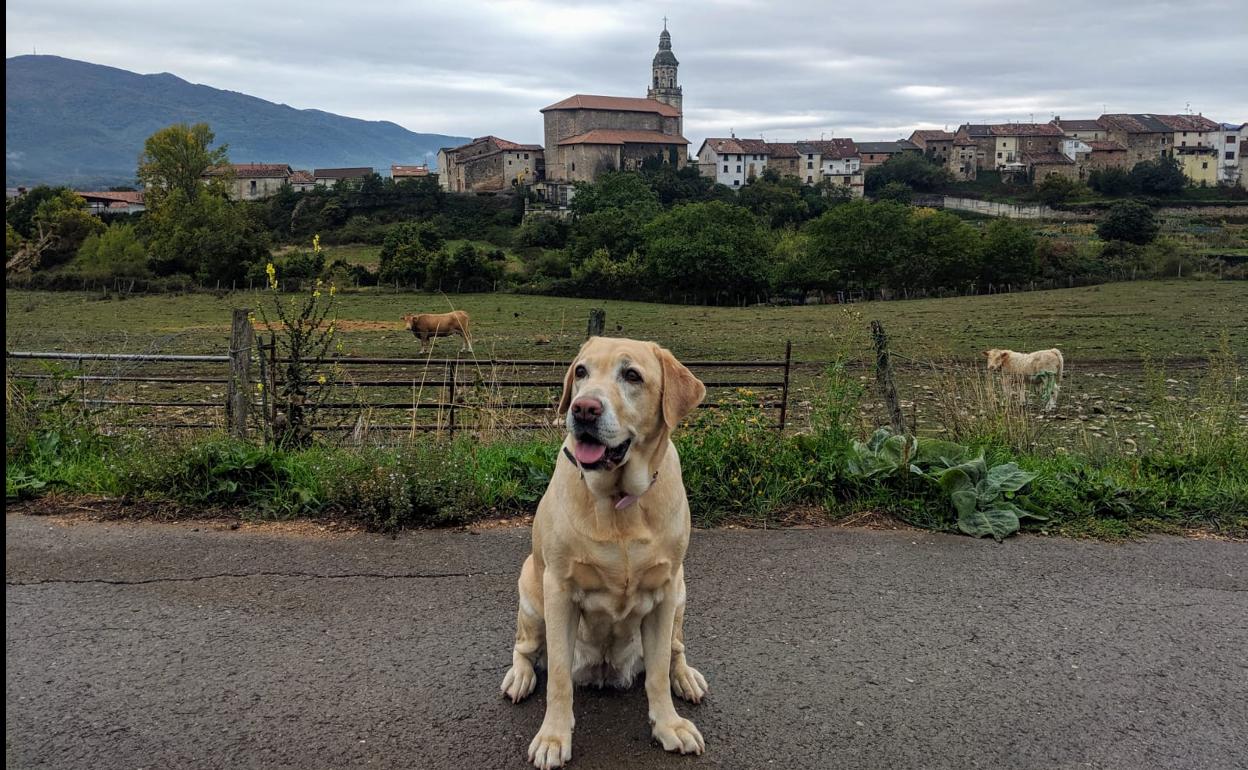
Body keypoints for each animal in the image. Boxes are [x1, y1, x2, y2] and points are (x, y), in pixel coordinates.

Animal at [499, 336, 713, 768]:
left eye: (632, 375)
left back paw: (685, 677)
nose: (583, 409)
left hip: (682, 593)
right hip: (531, 592)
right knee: (525, 648)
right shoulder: (559, 592)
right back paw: (520, 676)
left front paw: (669, 725)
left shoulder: (665, 593)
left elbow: (658, 672)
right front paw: (553, 737)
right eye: (581, 371)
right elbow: (559, 677)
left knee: (675, 651)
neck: (619, 500)